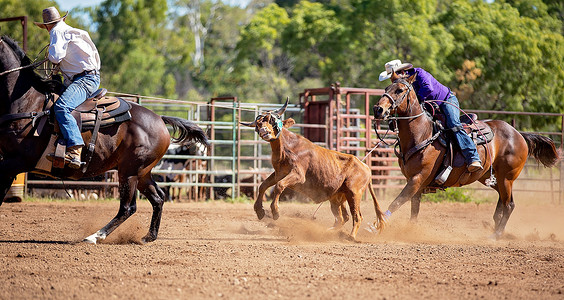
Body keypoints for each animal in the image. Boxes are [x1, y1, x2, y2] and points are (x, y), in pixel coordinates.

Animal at [0, 35, 209, 244]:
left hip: (129, 172)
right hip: (142, 173)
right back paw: (148, 236)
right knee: (158, 198)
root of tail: (160, 119)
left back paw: (95, 236)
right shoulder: (9, 160)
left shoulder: (17, 160)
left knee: (128, 208)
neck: (29, 102)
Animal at [240, 98, 386, 239]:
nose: (264, 131)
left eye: (271, 120)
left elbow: (279, 186)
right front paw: (259, 210)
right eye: (258, 124)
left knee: (357, 216)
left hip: (354, 193)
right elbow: (263, 185)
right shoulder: (278, 173)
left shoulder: (298, 175)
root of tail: (366, 167)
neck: (287, 148)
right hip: (337, 197)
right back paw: (328, 232)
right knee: (342, 218)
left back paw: (351, 236)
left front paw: (275, 211)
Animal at [374, 73, 560, 239]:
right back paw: (495, 226)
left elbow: (397, 202)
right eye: (386, 88)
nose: (378, 109)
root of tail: (518, 134)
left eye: (399, 90)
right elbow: (414, 209)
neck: (422, 134)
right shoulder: (414, 181)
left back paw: (496, 235)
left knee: (508, 205)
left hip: (507, 178)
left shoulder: (418, 178)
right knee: (504, 201)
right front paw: (409, 230)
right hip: (491, 178)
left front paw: (377, 226)